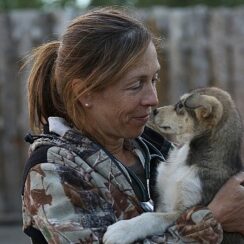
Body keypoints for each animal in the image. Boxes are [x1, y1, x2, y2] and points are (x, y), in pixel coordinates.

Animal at [102, 87, 242, 244]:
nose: (154, 111)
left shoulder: (185, 210)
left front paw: (121, 230)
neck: (184, 158)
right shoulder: (161, 200)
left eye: (180, 106)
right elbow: (154, 214)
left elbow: (152, 217)